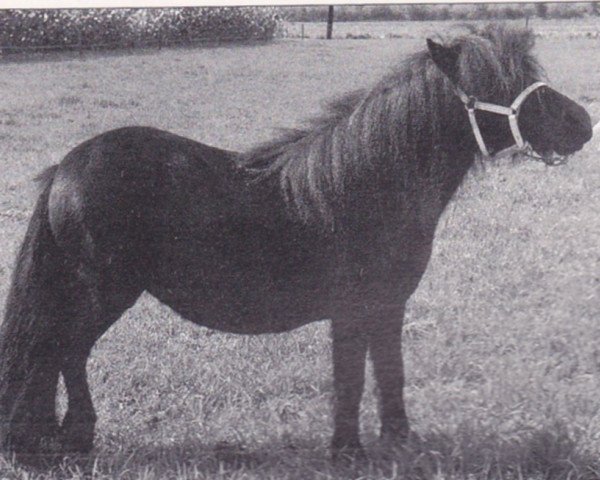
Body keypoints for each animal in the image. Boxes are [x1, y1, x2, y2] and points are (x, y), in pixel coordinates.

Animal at [0, 23, 592, 462]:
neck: (368, 183)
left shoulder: (387, 307)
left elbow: (390, 372)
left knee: (60, 355)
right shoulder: (352, 311)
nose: (583, 122)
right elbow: (351, 378)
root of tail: (68, 165)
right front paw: (348, 453)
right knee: (61, 352)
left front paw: (399, 444)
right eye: (496, 85)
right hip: (101, 292)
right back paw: (66, 441)